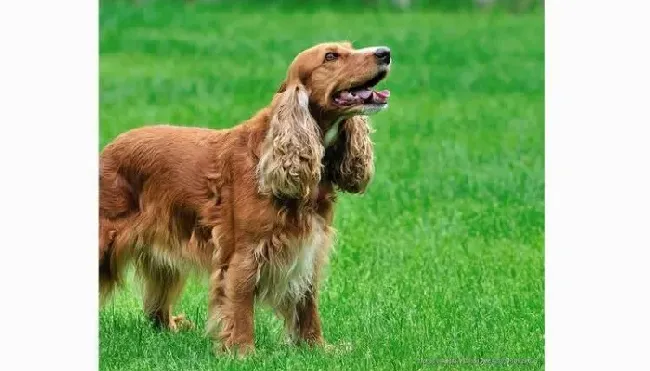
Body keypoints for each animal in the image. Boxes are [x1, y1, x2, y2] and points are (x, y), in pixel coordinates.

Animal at [97, 40, 390, 354]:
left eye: (351, 47)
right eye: (331, 56)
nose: (385, 52)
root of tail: (107, 149)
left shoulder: (309, 246)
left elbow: (308, 303)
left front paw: (317, 348)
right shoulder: (244, 252)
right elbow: (241, 303)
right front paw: (243, 352)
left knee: (156, 309)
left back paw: (172, 328)